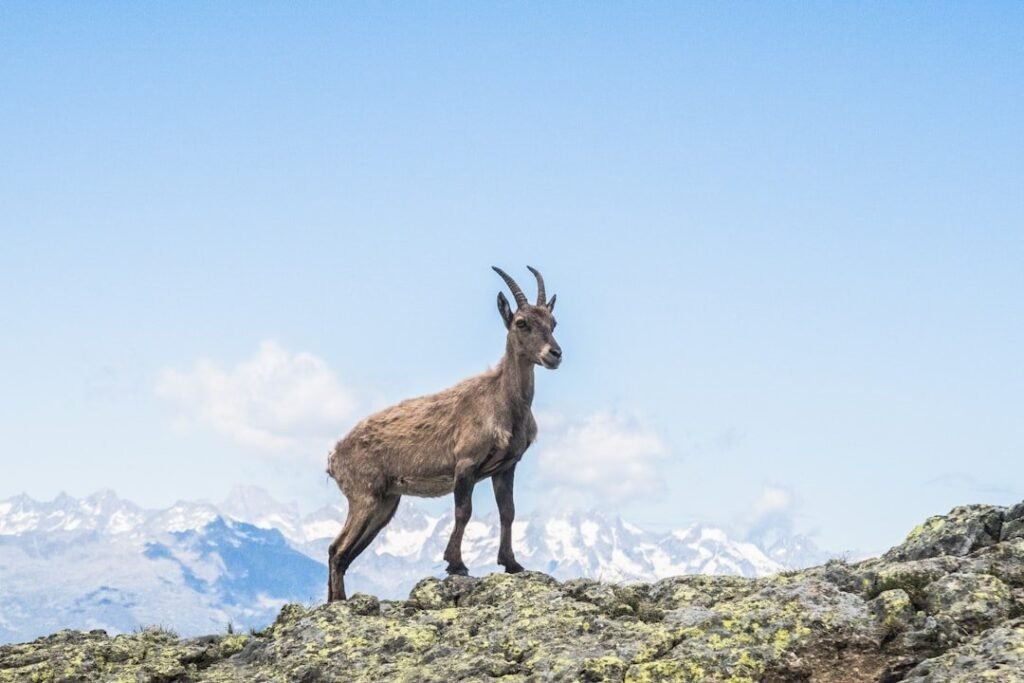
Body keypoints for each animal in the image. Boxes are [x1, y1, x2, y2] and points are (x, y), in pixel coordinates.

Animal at [325, 266, 561, 601]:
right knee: (336, 549)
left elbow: (508, 512)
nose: (554, 354)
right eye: (522, 322)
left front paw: (512, 563)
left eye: (553, 323)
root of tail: (333, 458)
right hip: (364, 496)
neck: (502, 402)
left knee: (343, 553)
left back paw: (336, 602)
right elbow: (463, 511)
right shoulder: (465, 464)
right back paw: (339, 602)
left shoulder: (505, 467)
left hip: (385, 503)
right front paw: (457, 564)